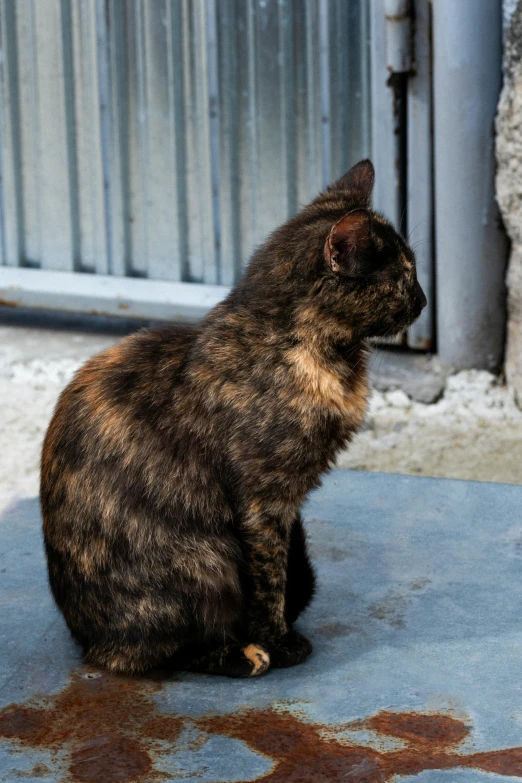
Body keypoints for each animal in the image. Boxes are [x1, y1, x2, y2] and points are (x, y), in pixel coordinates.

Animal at [40, 159, 422, 672]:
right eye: (404, 277)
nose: (423, 300)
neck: (303, 346)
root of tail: (85, 640)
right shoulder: (263, 500)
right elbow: (269, 577)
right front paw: (279, 641)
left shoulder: (287, 506)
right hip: (206, 558)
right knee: (163, 652)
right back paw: (243, 656)